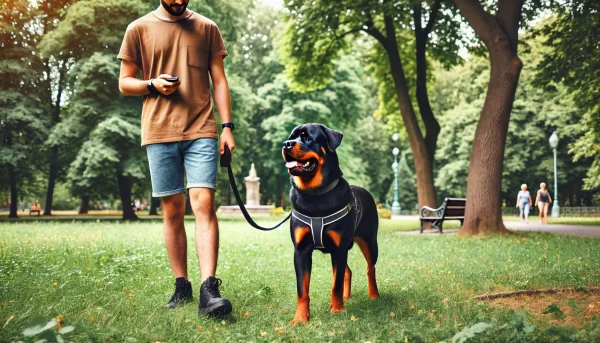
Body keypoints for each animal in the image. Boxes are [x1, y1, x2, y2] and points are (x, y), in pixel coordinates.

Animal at [282, 123, 380, 326]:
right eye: (291, 137)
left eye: (307, 138)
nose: (286, 144)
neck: (314, 194)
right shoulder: (301, 250)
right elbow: (302, 289)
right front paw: (300, 318)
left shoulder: (339, 248)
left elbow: (336, 284)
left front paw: (337, 309)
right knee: (347, 271)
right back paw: (347, 296)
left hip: (369, 240)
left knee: (370, 267)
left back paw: (374, 295)